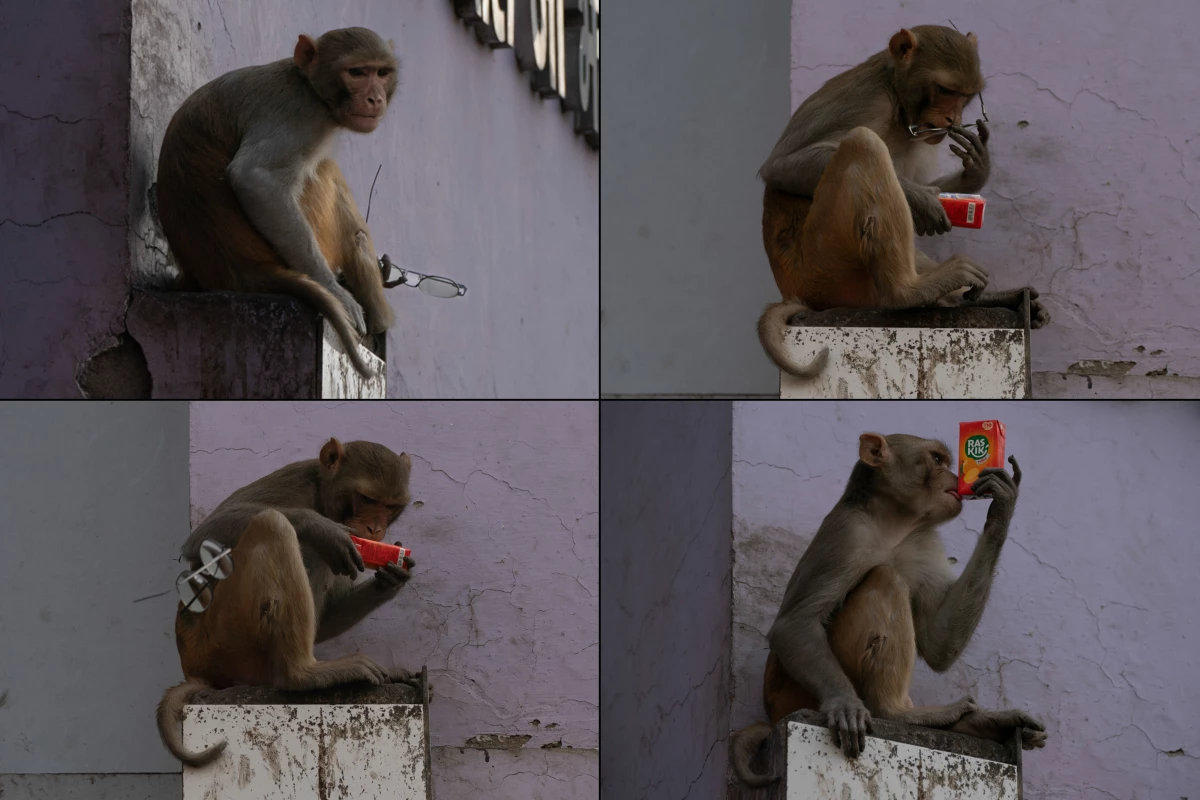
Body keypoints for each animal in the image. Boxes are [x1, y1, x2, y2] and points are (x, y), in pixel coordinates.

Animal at [156, 28, 398, 377]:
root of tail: (243, 270)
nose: (375, 99)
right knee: (324, 171)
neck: (307, 85)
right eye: (356, 72)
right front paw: (335, 290)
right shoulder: (299, 116)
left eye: (382, 72)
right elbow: (255, 178)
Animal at [156, 437, 420, 766]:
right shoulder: (294, 483)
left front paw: (393, 576)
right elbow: (202, 540)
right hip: (224, 639)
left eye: (390, 507)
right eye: (367, 499)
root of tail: (194, 666)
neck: (322, 497)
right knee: (274, 524)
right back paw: (302, 674)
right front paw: (319, 527)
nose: (375, 530)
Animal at [731, 433, 1046, 787]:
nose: (955, 479)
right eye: (937, 459)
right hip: (798, 694)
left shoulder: (924, 543)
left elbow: (937, 644)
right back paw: (896, 712)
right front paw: (844, 702)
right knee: (886, 577)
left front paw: (1000, 506)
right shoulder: (847, 533)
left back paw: (980, 723)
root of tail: (774, 713)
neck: (894, 525)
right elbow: (794, 621)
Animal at [755, 26, 1050, 379]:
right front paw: (918, 196)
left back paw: (972, 299)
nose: (952, 117)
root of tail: (794, 290)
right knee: (864, 144)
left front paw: (974, 173)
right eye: (944, 89)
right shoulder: (863, 100)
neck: (897, 101)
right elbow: (781, 167)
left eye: (964, 95)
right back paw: (907, 292)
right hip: (827, 270)